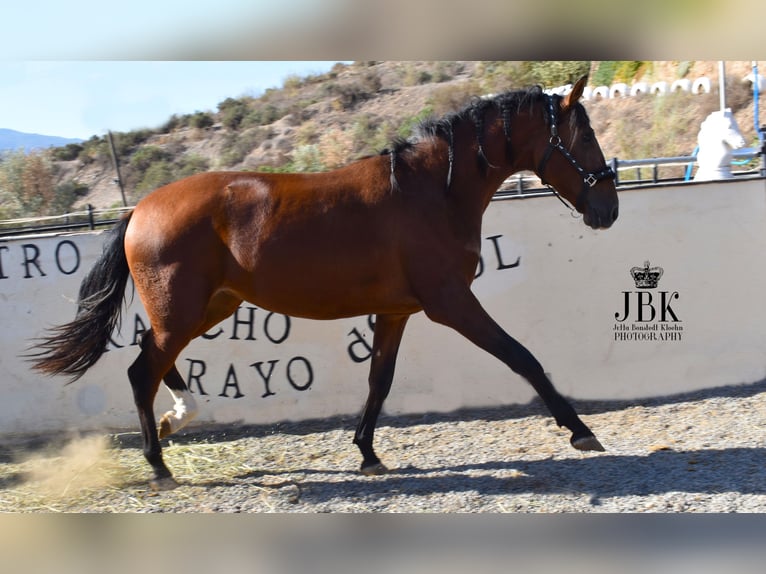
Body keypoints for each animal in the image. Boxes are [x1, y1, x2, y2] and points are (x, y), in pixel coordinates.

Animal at [30, 75, 620, 490]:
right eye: (585, 137)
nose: (608, 211)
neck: (433, 191)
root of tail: (140, 209)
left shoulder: (397, 311)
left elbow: (379, 381)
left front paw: (368, 453)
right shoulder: (451, 302)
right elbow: (523, 357)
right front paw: (581, 431)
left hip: (209, 307)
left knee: (153, 361)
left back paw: (179, 422)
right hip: (182, 311)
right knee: (141, 371)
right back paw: (159, 465)